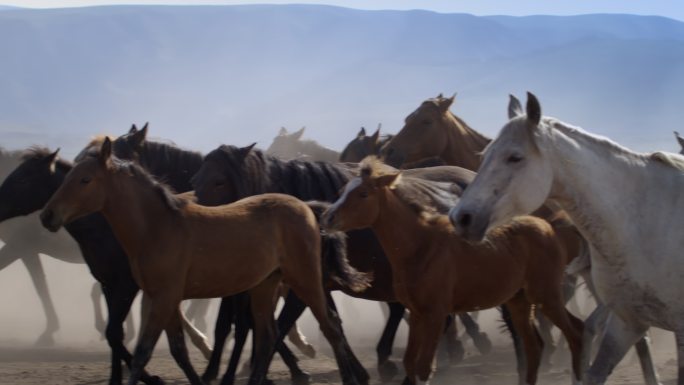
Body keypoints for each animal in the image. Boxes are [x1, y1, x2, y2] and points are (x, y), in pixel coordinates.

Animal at [320, 157, 584, 384]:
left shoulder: (436, 313)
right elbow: (409, 363)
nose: (326, 217)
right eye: (341, 192)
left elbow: (424, 368)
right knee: (534, 346)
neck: (421, 245)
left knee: (576, 331)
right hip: (519, 301)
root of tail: (551, 229)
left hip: (546, 295)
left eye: (363, 193)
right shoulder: (417, 313)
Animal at [448, 91, 684, 382]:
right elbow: (597, 368)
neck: (643, 222)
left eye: (515, 157)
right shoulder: (626, 322)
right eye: (484, 155)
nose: (460, 217)